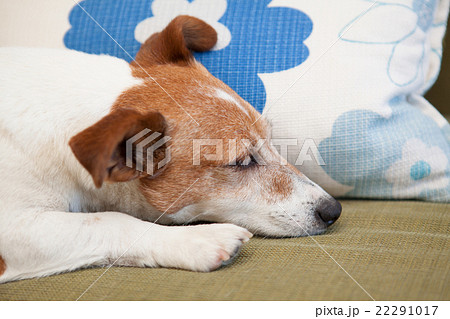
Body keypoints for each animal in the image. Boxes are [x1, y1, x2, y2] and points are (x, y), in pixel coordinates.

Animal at [0, 16, 340, 284]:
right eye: (242, 161)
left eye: (271, 139)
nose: (333, 210)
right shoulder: (14, 228)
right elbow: (111, 220)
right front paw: (196, 238)